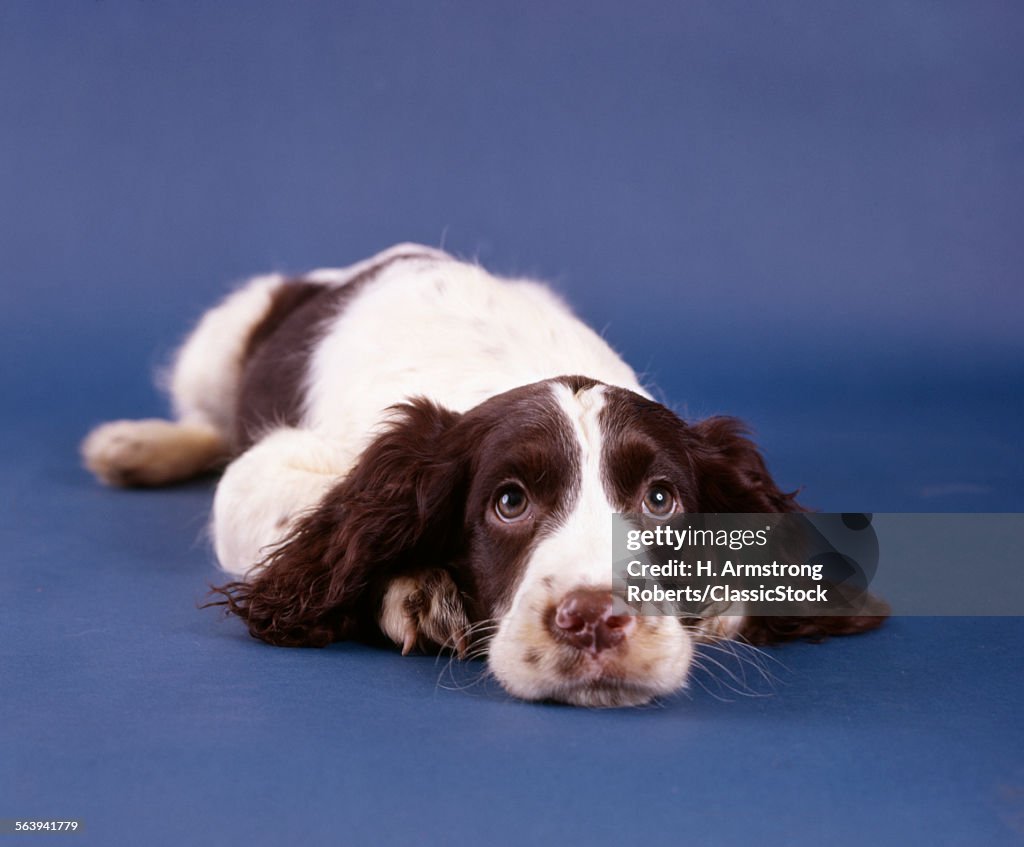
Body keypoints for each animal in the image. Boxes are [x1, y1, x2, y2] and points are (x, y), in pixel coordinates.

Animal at [79, 244, 884, 708]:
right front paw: (412, 587)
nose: (595, 621)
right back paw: (133, 445)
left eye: (661, 499)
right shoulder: (271, 473)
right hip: (224, 337)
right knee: (209, 420)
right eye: (509, 502)